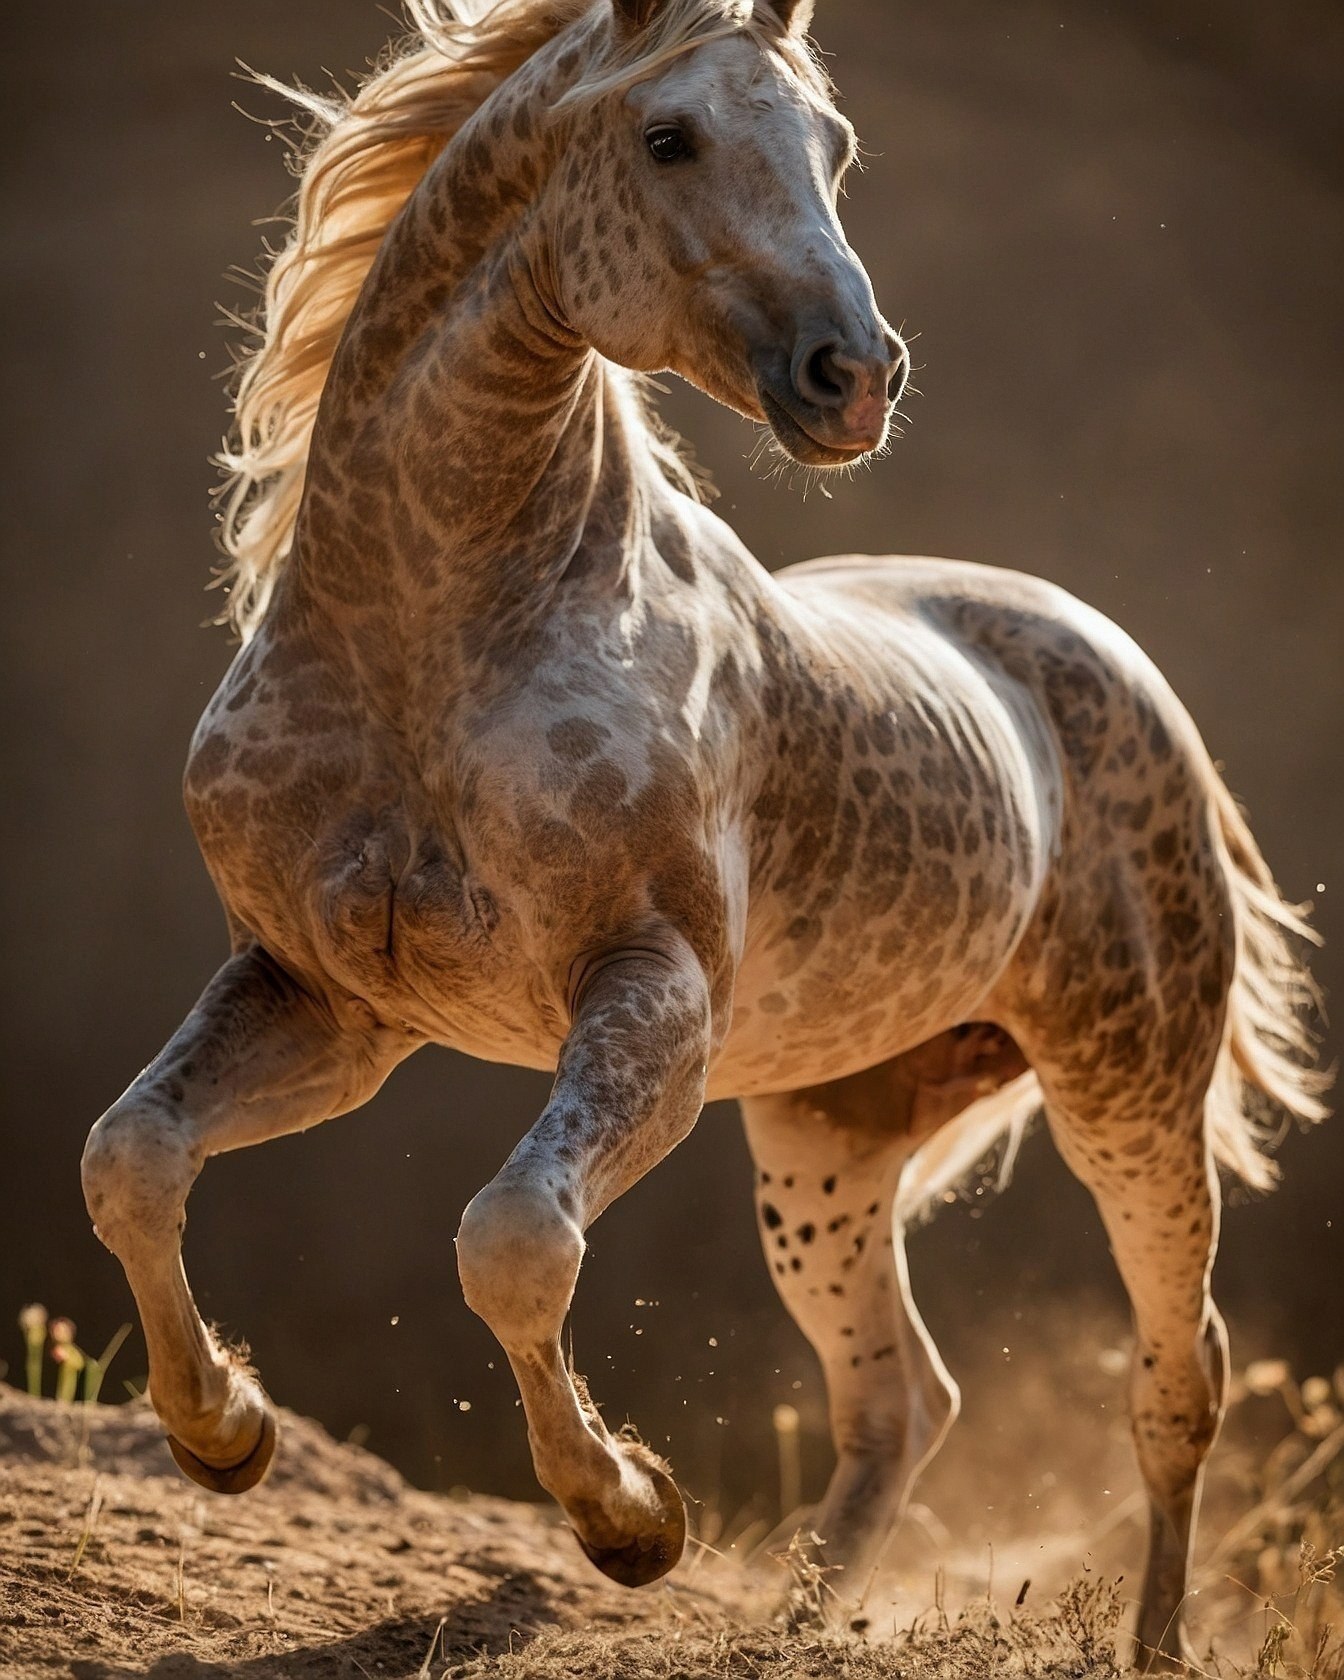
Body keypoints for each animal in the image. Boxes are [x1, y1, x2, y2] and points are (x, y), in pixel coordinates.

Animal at [81, 0, 1324, 1663]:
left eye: (834, 144)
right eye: (667, 137)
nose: (855, 375)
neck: (427, 642)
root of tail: (1127, 673)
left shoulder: (649, 1002)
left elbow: (514, 1241)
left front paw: (628, 1520)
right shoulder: (325, 1005)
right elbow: (132, 1158)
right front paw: (223, 1433)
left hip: (1128, 1095)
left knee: (1175, 1375)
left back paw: (1153, 1647)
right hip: (826, 1141)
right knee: (901, 1398)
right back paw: (790, 1631)